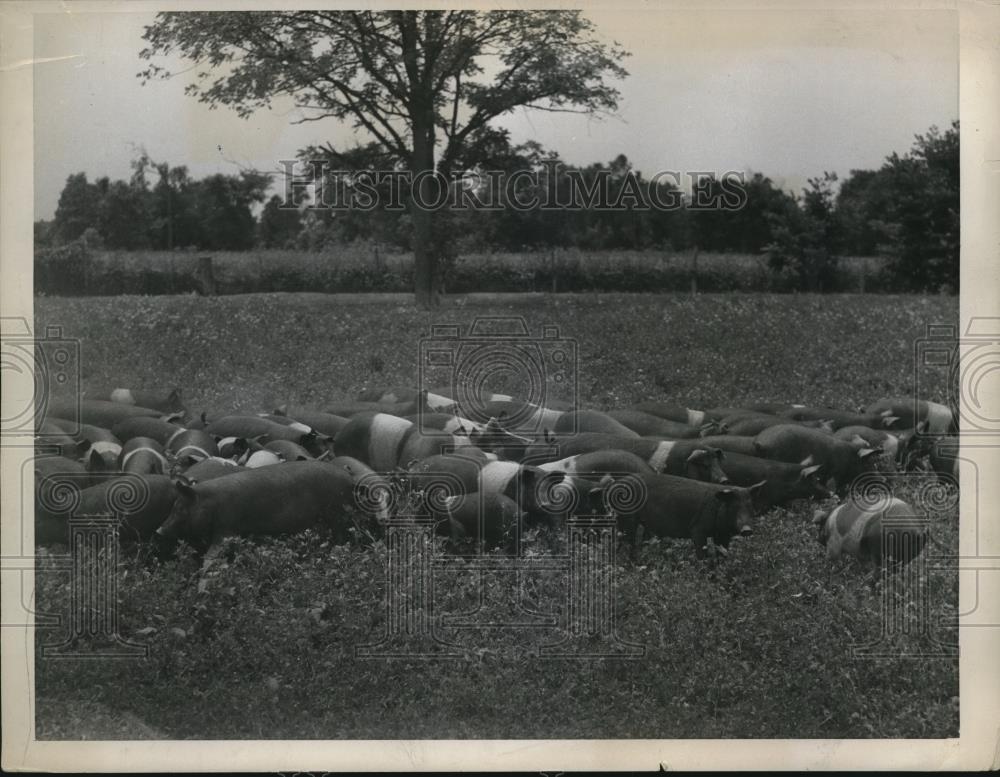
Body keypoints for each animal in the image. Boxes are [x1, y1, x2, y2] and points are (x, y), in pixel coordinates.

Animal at [752, 424, 880, 492]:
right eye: (868, 462)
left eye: (874, 461)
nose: (881, 479)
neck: (849, 457)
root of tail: (761, 443)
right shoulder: (835, 474)